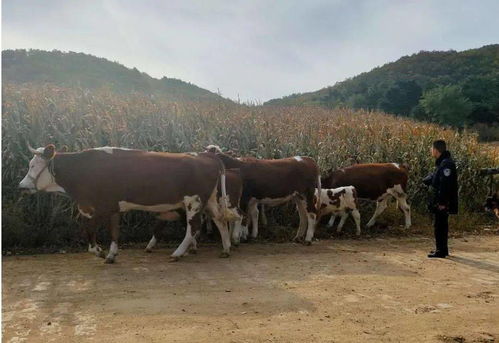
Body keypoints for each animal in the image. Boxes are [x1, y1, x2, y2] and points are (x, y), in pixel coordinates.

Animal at [19, 144, 234, 264]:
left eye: (33, 165)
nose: (21, 186)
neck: (85, 169)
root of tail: (206, 155)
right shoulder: (114, 207)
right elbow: (114, 232)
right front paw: (111, 255)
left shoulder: (101, 206)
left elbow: (89, 229)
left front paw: (98, 251)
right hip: (209, 200)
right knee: (220, 220)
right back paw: (225, 249)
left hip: (193, 201)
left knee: (193, 227)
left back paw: (178, 253)